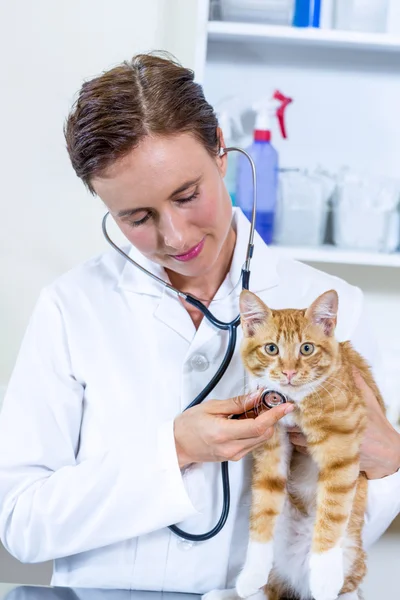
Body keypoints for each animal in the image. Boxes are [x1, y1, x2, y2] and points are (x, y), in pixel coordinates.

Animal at [234, 288, 384, 596]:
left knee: (349, 585)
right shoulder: (271, 450)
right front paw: (252, 573)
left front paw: (324, 578)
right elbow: (262, 511)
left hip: (353, 556)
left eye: (306, 349)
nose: (289, 372)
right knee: (270, 590)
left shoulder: (341, 453)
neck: (295, 401)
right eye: (271, 349)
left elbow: (332, 515)